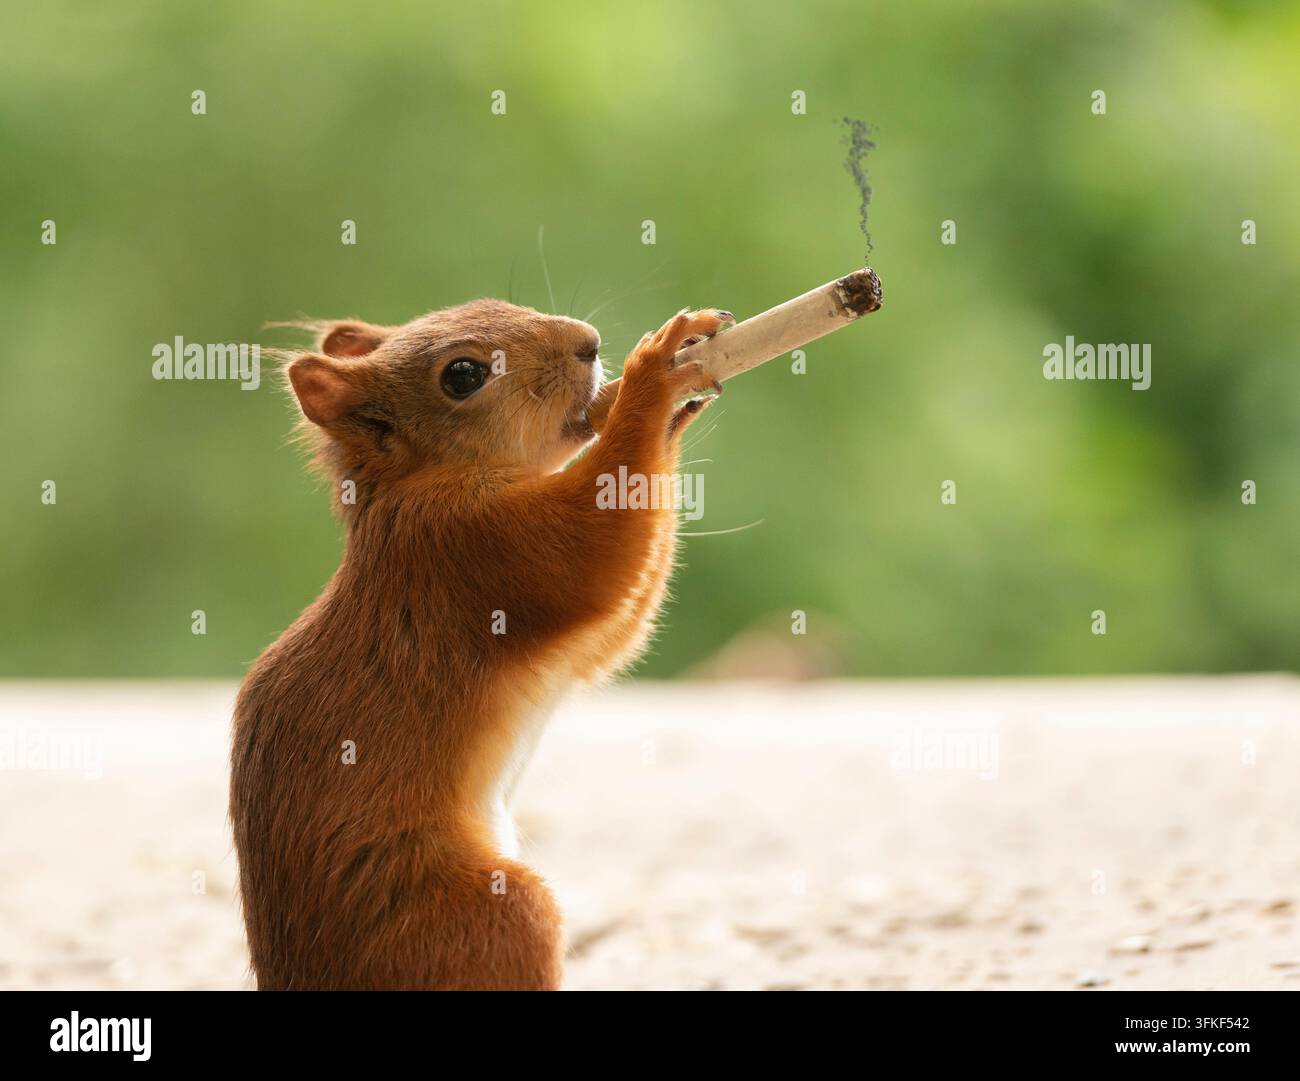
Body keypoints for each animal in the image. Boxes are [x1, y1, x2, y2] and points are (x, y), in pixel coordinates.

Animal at [230, 299, 732, 990]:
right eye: (463, 375)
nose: (588, 342)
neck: (418, 481)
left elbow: (616, 629)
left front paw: (674, 406)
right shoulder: (474, 547)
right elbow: (595, 550)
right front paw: (653, 377)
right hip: (484, 913)